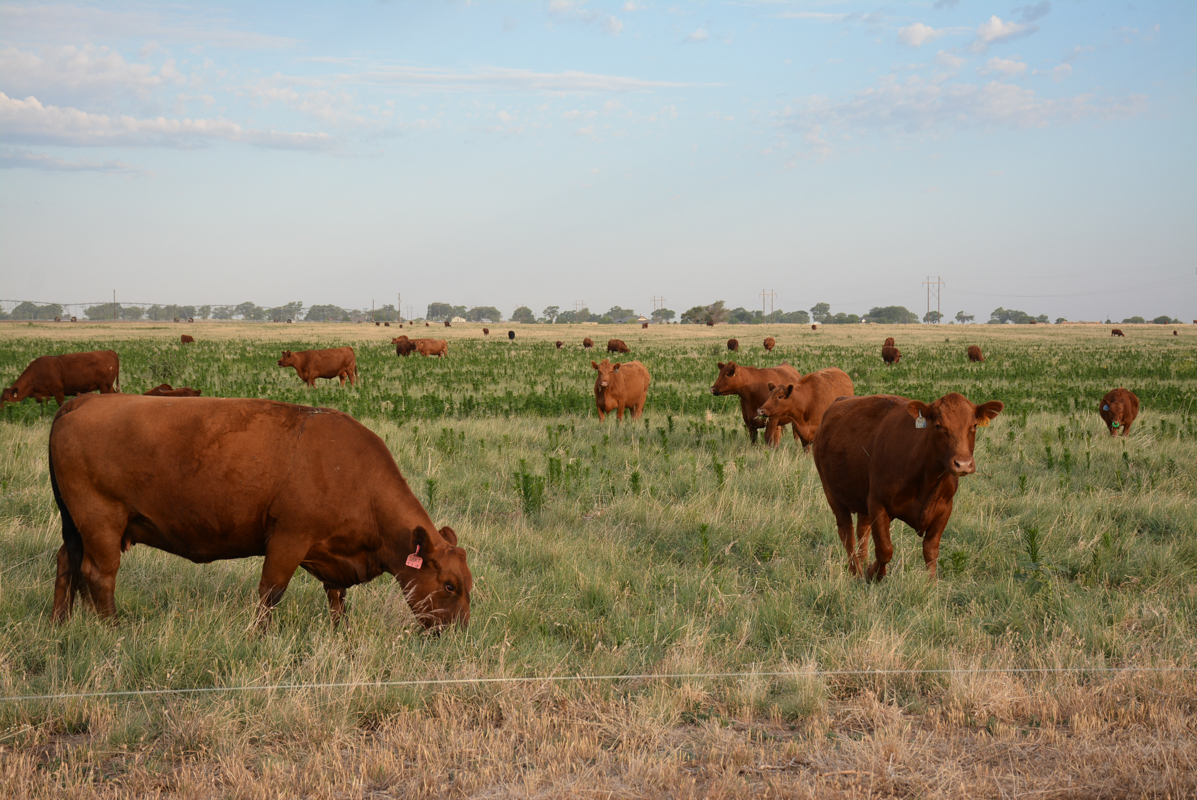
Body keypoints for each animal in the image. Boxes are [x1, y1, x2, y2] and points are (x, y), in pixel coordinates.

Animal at [50, 392, 471, 632]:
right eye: (451, 585)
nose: (458, 634)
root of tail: (83, 401)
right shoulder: (288, 539)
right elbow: (271, 592)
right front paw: (259, 635)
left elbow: (336, 598)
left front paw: (341, 635)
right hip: (101, 522)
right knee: (99, 574)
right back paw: (112, 630)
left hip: (75, 525)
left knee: (67, 562)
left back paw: (62, 623)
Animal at [813, 392, 1000, 582]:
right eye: (938, 426)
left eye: (974, 426)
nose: (963, 464)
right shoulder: (877, 503)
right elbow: (885, 549)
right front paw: (874, 573)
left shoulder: (945, 508)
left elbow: (931, 550)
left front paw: (931, 583)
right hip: (831, 492)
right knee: (847, 533)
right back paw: (856, 572)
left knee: (862, 531)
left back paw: (863, 564)